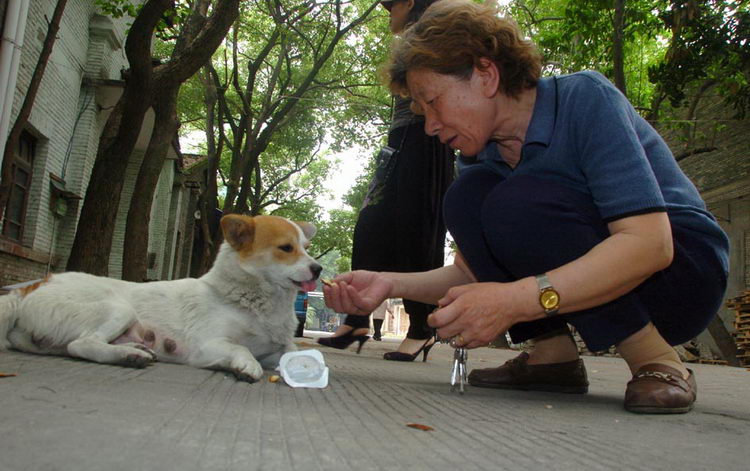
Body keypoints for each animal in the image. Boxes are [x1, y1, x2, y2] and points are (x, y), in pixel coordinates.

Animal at [0, 215, 320, 384]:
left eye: (306, 247)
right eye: (286, 248)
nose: (318, 268)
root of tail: (29, 288)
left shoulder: (279, 347)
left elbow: (293, 351)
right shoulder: (208, 346)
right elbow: (241, 349)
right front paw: (245, 365)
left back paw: (133, 349)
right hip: (118, 308)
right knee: (81, 344)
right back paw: (129, 356)